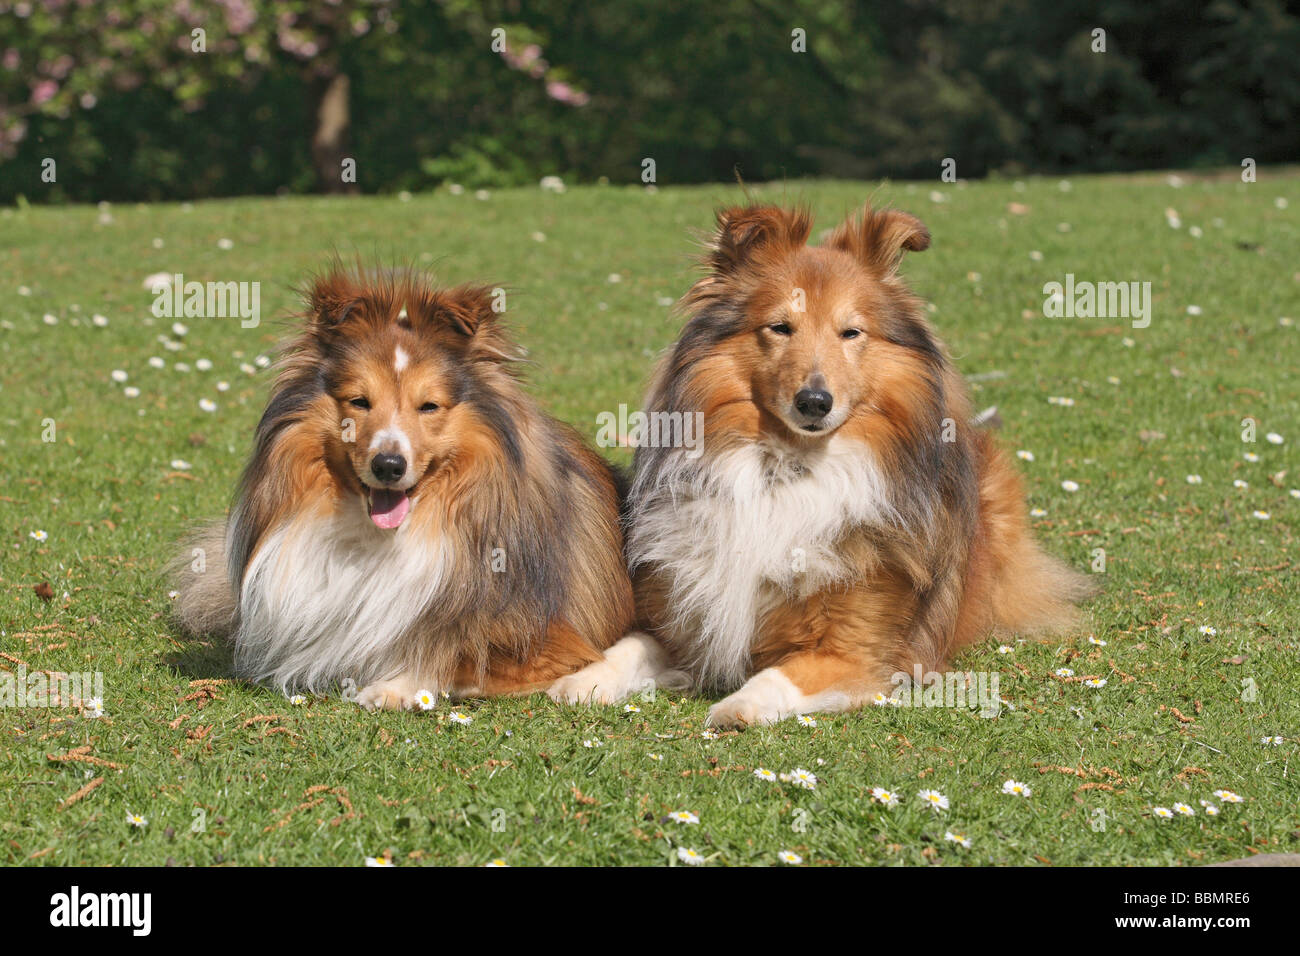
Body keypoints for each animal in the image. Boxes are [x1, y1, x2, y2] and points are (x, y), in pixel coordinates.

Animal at [174, 265, 634, 707]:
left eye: (428, 406)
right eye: (359, 402)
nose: (389, 466)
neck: (387, 536)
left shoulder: (554, 643)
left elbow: (451, 654)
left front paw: (395, 686)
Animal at [553, 201, 1092, 723]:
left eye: (850, 332)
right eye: (779, 327)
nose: (814, 402)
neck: (787, 472)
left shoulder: (857, 651)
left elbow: (778, 677)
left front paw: (735, 708)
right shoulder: (685, 615)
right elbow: (627, 647)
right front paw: (580, 680)